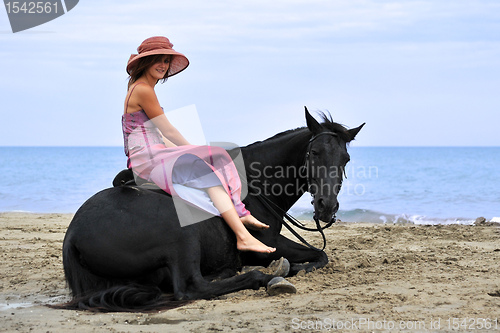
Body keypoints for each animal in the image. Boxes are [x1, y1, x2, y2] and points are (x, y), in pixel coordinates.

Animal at [58, 107, 364, 312]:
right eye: (314, 153)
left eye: (346, 159)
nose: (327, 206)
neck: (255, 184)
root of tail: (73, 236)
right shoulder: (267, 242)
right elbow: (320, 256)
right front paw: (293, 268)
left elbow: (320, 255)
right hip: (182, 237)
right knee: (191, 288)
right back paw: (266, 277)